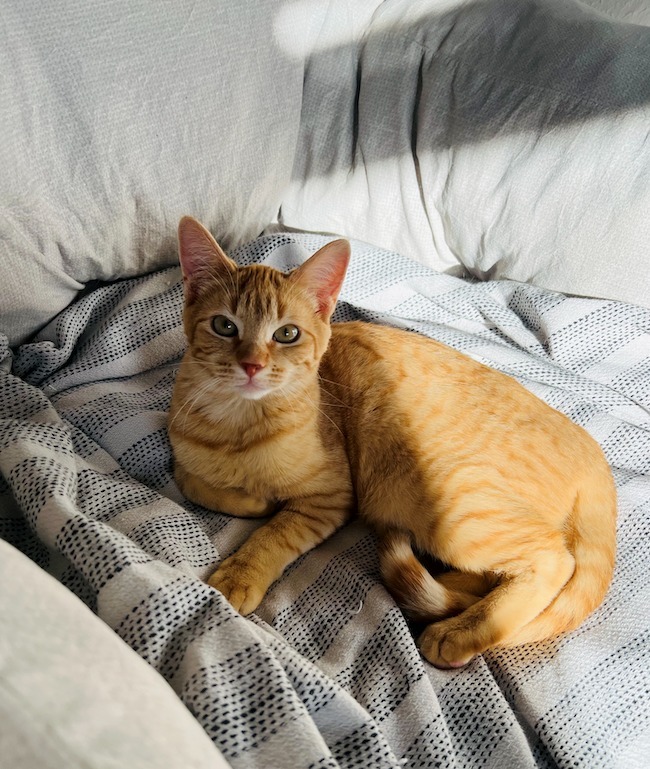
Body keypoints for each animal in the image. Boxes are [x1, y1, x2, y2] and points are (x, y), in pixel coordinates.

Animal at [167, 216, 612, 664]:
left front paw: (239, 573)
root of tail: (594, 454)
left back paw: (458, 631)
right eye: (225, 326)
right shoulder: (180, 449)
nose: (252, 365)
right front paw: (251, 501)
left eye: (287, 333)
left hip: (454, 505)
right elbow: (189, 480)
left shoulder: (331, 497)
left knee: (554, 561)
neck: (238, 425)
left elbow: (273, 534)